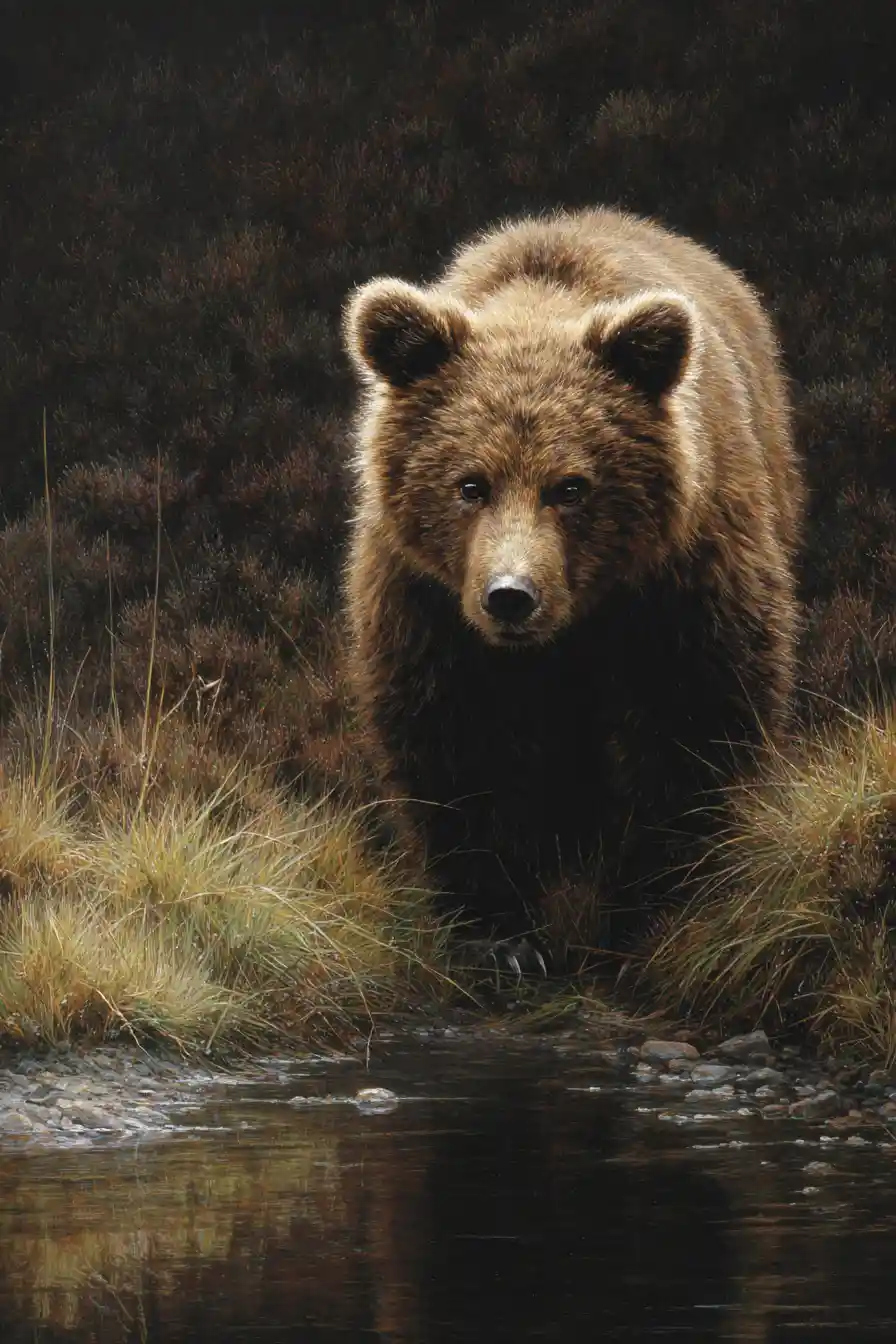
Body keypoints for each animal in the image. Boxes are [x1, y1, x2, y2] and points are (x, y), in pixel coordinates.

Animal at [341, 206, 805, 972]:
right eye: (470, 484)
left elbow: (697, 719)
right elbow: (455, 741)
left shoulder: (683, 579)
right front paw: (502, 933)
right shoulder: (428, 602)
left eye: (571, 487)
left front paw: (653, 908)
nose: (510, 596)